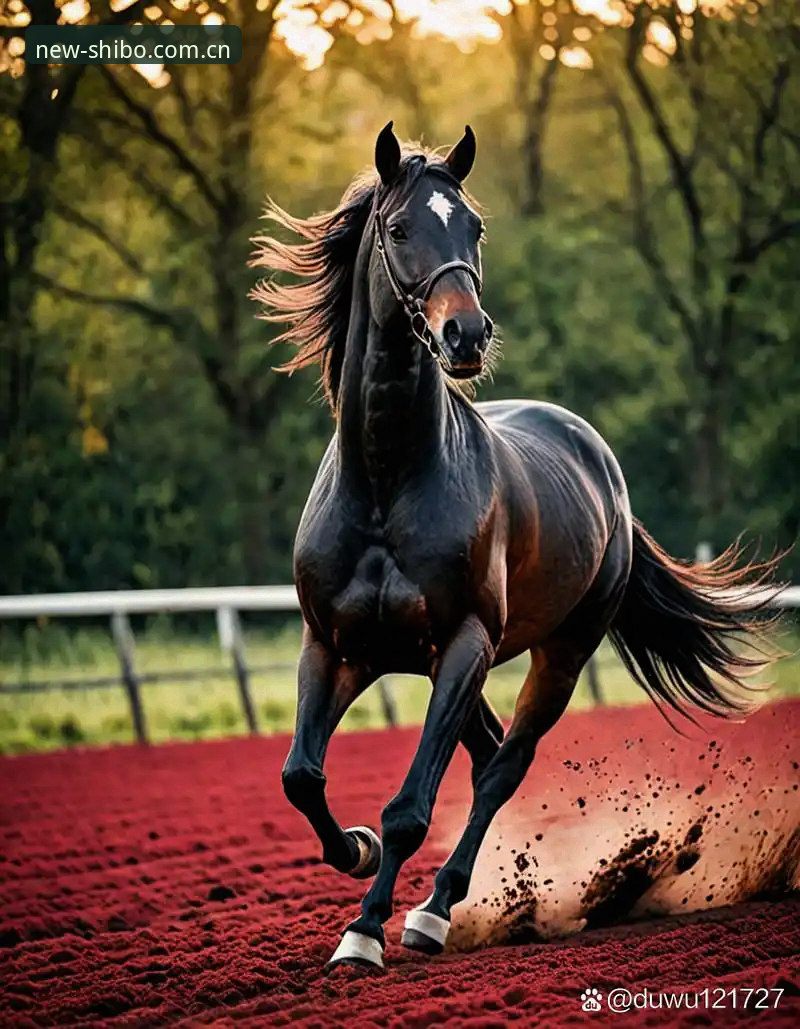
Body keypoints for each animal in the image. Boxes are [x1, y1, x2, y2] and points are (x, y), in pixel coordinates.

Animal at [251, 123, 778, 970]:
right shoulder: (337, 644)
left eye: (474, 227)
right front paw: (356, 851)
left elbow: (411, 805)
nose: (465, 333)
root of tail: (603, 467)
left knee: (504, 764)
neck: (386, 483)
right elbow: (301, 774)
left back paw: (436, 909)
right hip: (439, 663)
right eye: (399, 229)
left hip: (556, 651)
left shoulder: (465, 640)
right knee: (485, 751)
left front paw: (367, 928)